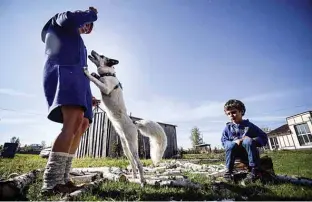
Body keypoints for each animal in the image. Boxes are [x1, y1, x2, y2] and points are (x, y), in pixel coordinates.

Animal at [84, 50, 168, 185]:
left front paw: (87, 73)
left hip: (132, 146)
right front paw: (94, 74)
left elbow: (95, 80)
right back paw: (133, 177)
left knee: (139, 164)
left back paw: (142, 181)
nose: (92, 51)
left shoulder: (105, 88)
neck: (108, 74)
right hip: (125, 147)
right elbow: (96, 78)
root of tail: (134, 123)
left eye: (102, 56)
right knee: (132, 163)